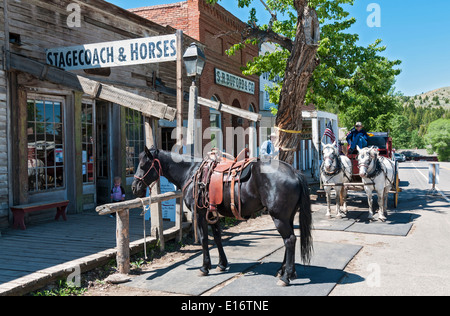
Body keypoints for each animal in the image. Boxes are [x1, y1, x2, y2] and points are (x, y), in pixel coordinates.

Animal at [132, 147, 312, 286]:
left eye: (143, 165)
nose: (134, 187)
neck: (190, 172)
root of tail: (294, 172)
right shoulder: (212, 214)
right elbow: (218, 237)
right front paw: (221, 264)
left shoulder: (200, 214)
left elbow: (204, 240)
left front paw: (205, 267)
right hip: (287, 217)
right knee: (289, 240)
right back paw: (284, 271)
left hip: (279, 218)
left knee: (289, 240)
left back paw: (286, 276)